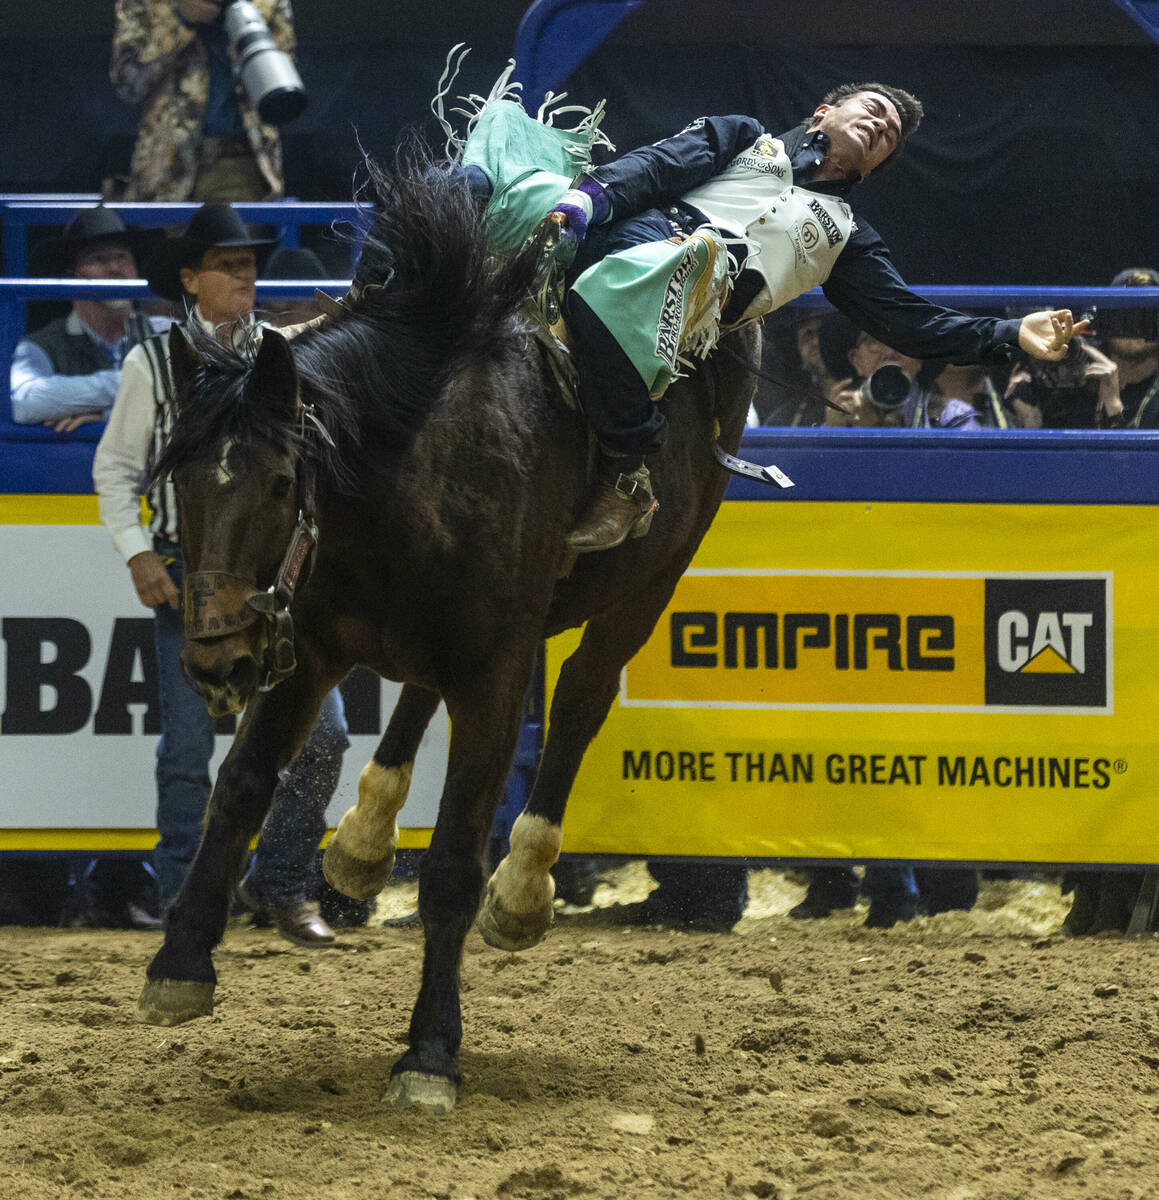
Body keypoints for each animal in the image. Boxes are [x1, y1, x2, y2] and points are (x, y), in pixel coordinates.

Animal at [140, 152, 763, 1113]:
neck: (408, 466)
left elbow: (452, 866)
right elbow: (241, 786)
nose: (215, 659)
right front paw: (179, 962)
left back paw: (524, 888)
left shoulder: (495, 674)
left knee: (579, 701)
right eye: (184, 481)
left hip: (646, 584)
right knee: (414, 699)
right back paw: (361, 844)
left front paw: (429, 1052)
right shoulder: (307, 647)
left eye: (282, 482)